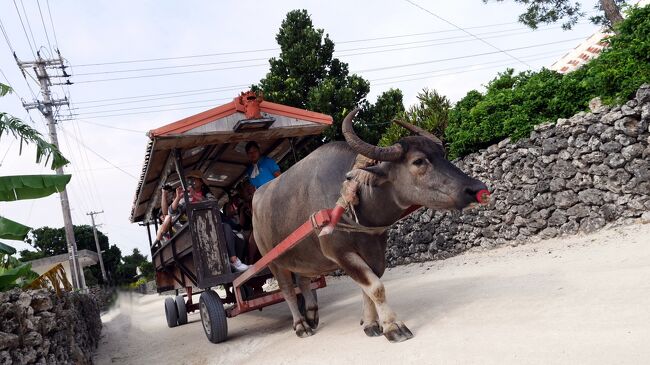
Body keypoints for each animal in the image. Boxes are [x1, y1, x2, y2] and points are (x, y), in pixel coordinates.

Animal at [251, 109, 484, 342]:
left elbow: (367, 287)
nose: (476, 188)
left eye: (442, 154)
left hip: (303, 257)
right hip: (275, 263)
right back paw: (301, 325)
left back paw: (311, 315)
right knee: (288, 291)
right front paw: (393, 326)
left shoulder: (375, 248)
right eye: (418, 161)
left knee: (304, 281)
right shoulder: (340, 252)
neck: (354, 196)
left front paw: (371, 323)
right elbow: (376, 287)